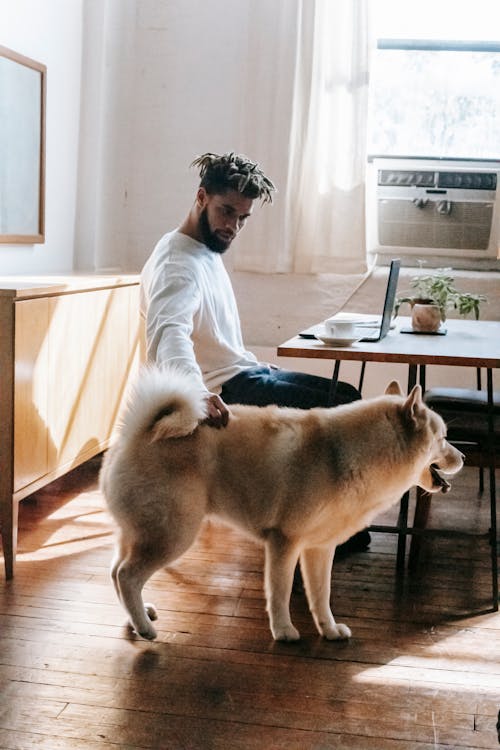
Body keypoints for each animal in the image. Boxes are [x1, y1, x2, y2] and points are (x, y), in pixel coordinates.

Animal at [99, 368, 462, 644]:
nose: (463, 457)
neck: (346, 456)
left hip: (142, 534)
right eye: (443, 438)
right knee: (128, 575)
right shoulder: (284, 542)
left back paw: (138, 617)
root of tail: (137, 434)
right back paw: (145, 628)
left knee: (117, 572)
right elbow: (280, 592)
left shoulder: (319, 549)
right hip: (174, 535)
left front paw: (329, 630)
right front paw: (284, 631)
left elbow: (321, 596)